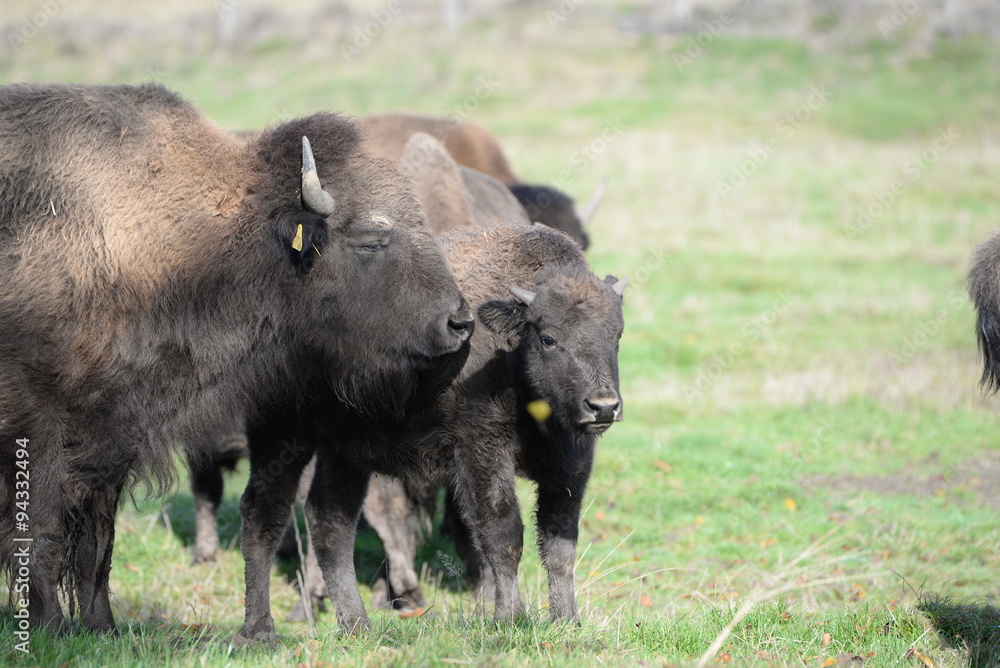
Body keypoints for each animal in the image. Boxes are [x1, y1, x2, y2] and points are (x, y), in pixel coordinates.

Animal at [0, 82, 472, 632]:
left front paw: (103, 629)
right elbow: (43, 533)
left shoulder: (114, 436)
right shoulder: (43, 429)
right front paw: (51, 629)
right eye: (372, 238)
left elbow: (98, 541)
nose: (459, 322)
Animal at [236, 220, 624, 636]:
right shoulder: (482, 455)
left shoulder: (569, 470)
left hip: (343, 451)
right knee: (263, 517)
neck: (511, 352)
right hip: (281, 439)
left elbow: (560, 544)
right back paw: (258, 631)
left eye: (617, 336)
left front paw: (568, 622)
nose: (603, 406)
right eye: (549, 337)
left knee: (330, 521)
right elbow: (503, 536)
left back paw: (357, 625)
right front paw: (509, 619)